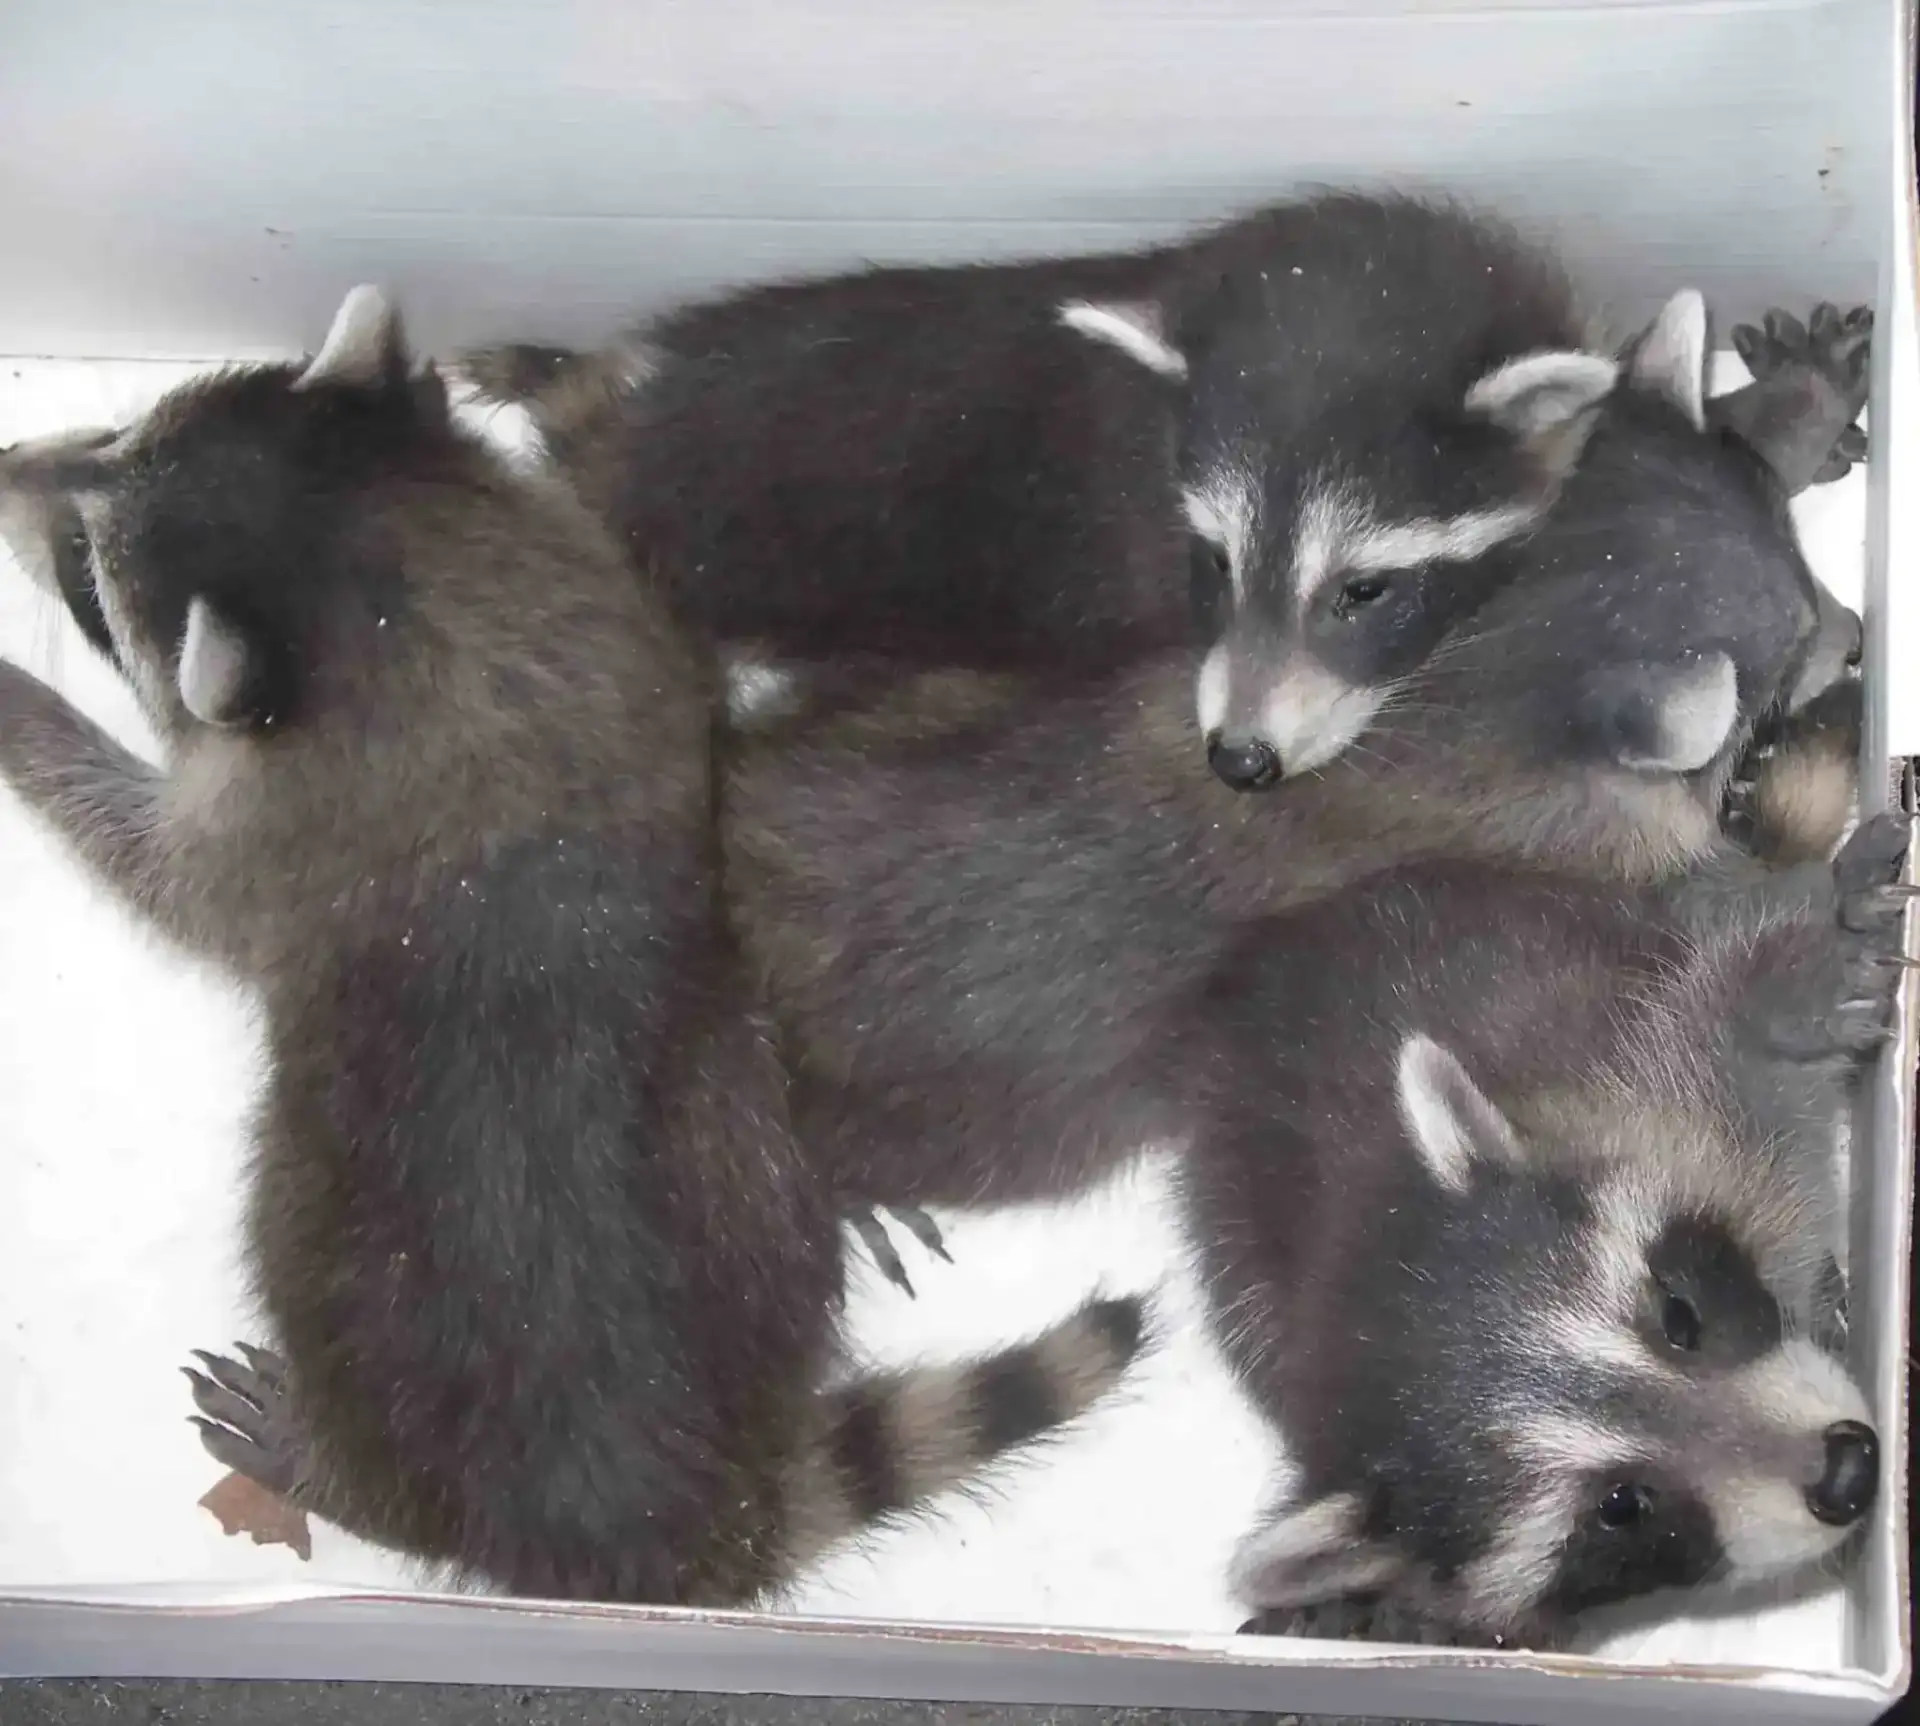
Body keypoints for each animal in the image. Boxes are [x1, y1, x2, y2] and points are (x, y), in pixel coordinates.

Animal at [0, 287, 1145, 1604]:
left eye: (86, 576)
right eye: (117, 431)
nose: (5, 462)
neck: (397, 581)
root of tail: (699, 1515)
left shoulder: (281, 833)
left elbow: (160, 871)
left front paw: (25, 714)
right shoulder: (614, 605)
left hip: (372, 1342)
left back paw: (328, 1473)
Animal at [1174, 813, 1911, 1649]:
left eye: (1678, 1319)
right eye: (1621, 1506)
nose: (1848, 1473)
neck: (1367, 1226)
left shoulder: (1643, 1080)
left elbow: (1724, 1028)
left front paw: (1806, 972)